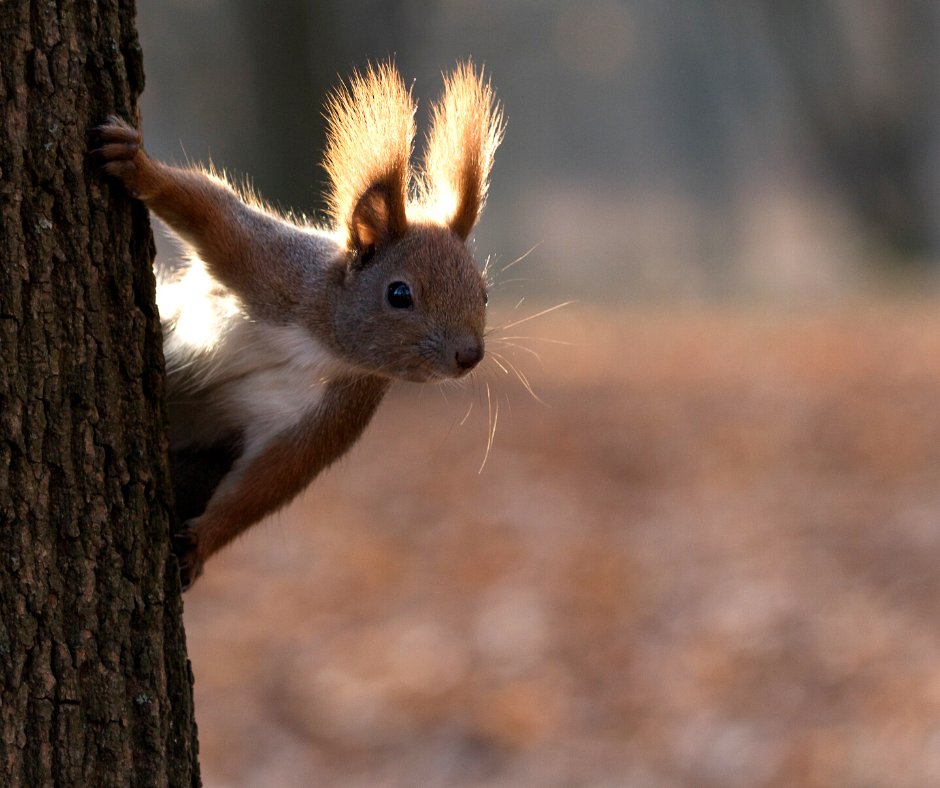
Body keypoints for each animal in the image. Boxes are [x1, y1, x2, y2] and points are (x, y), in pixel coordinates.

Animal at [92, 62, 504, 588]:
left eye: (484, 293)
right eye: (399, 294)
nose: (469, 355)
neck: (320, 342)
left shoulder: (335, 413)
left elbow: (268, 482)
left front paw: (199, 545)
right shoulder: (273, 269)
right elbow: (210, 209)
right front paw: (136, 164)